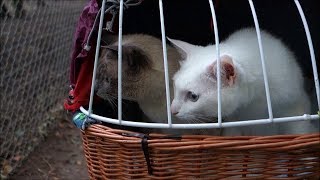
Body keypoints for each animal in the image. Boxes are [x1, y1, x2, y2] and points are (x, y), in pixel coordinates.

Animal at [170, 27, 318, 135]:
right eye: (175, 86)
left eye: (193, 96)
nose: (172, 110)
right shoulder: (233, 121)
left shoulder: (295, 107)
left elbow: (299, 131)